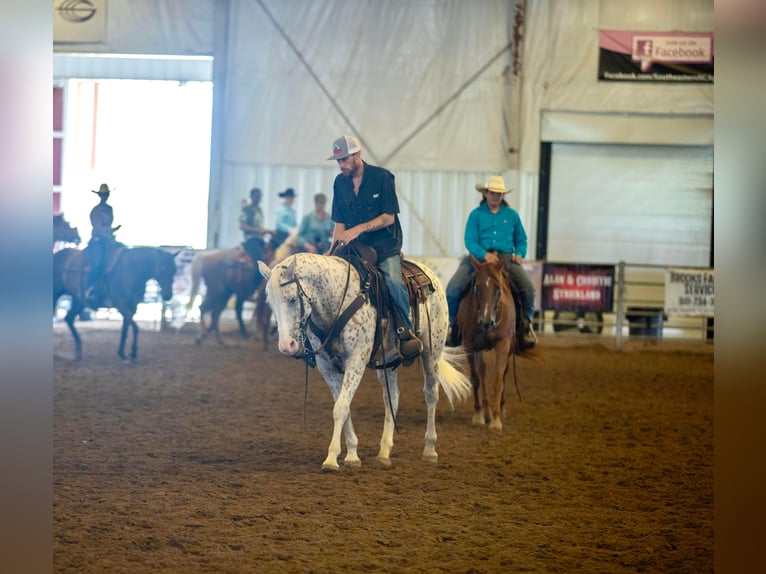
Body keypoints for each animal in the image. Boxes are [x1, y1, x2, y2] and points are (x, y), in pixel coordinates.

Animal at [260, 248, 472, 472]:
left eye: (292, 299)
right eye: (270, 303)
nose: (287, 346)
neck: (337, 301)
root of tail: (429, 274)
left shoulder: (356, 361)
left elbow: (340, 408)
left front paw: (331, 459)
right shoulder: (328, 367)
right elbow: (343, 406)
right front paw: (352, 454)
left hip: (432, 351)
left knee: (431, 393)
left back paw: (430, 449)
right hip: (387, 363)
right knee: (391, 397)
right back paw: (384, 452)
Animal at [456, 256, 536, 432]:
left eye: (498, 288)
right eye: (477, 287)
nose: (486, 322)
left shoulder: (503, 345)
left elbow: (498, 380)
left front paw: (496, 420)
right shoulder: (470, 345)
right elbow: (476, 379)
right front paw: (478, 415)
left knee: (504, 374)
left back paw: (501, 409)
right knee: (482, 372)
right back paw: (486, 412)